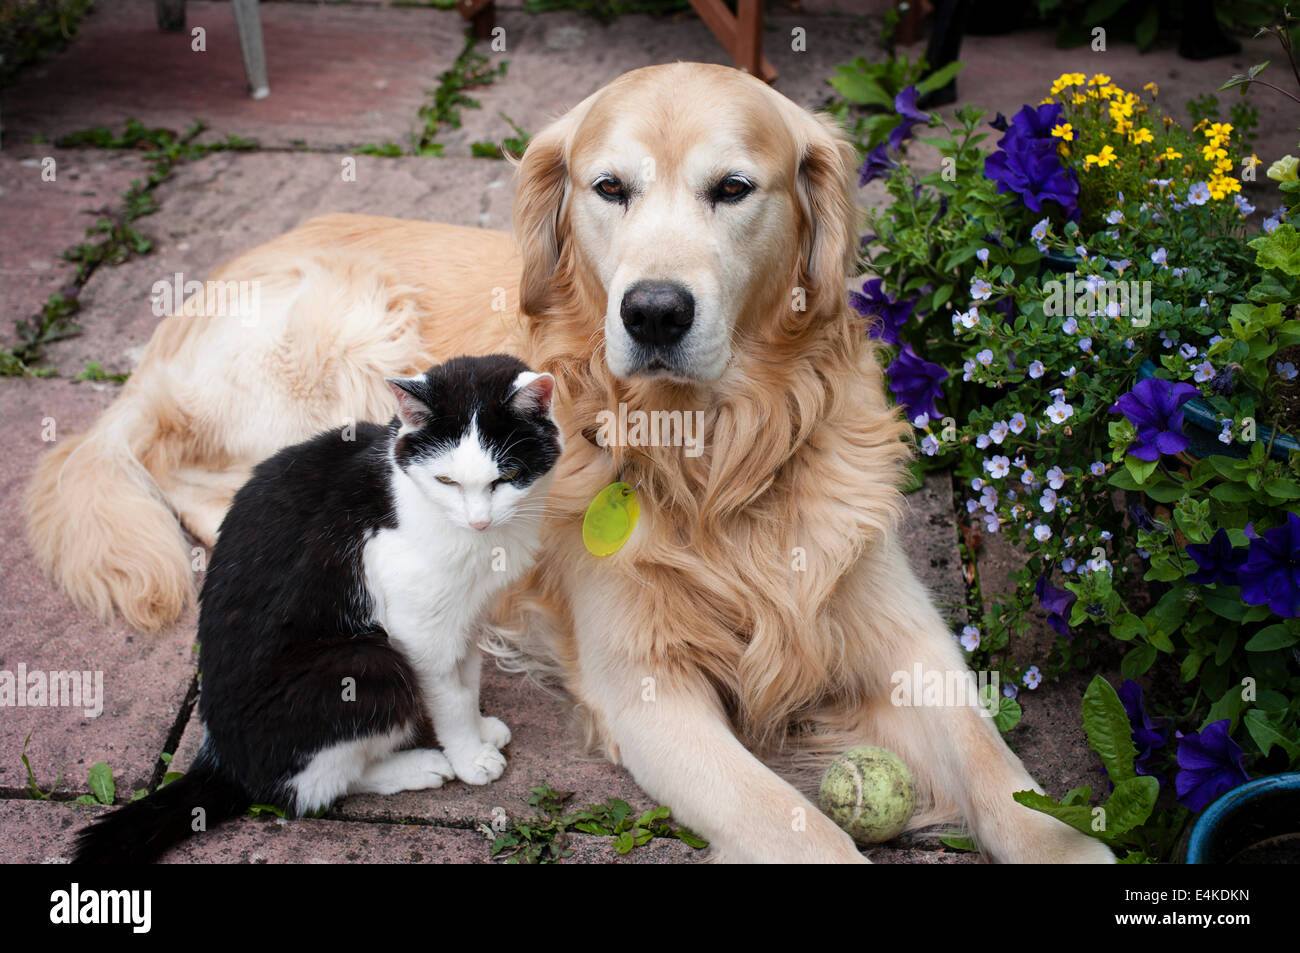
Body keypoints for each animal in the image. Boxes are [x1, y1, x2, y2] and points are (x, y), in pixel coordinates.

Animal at [74, 353, 564, 858]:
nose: (479, 521)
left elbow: (467, 680)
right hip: (369, 664)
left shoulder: (466, 614)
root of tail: (224, 760)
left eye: (506, 477)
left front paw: (481, 728)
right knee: (306, 790)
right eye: (446, 480)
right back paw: (420, 766)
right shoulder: (419, 625)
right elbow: (449, 697)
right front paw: (468, 756)